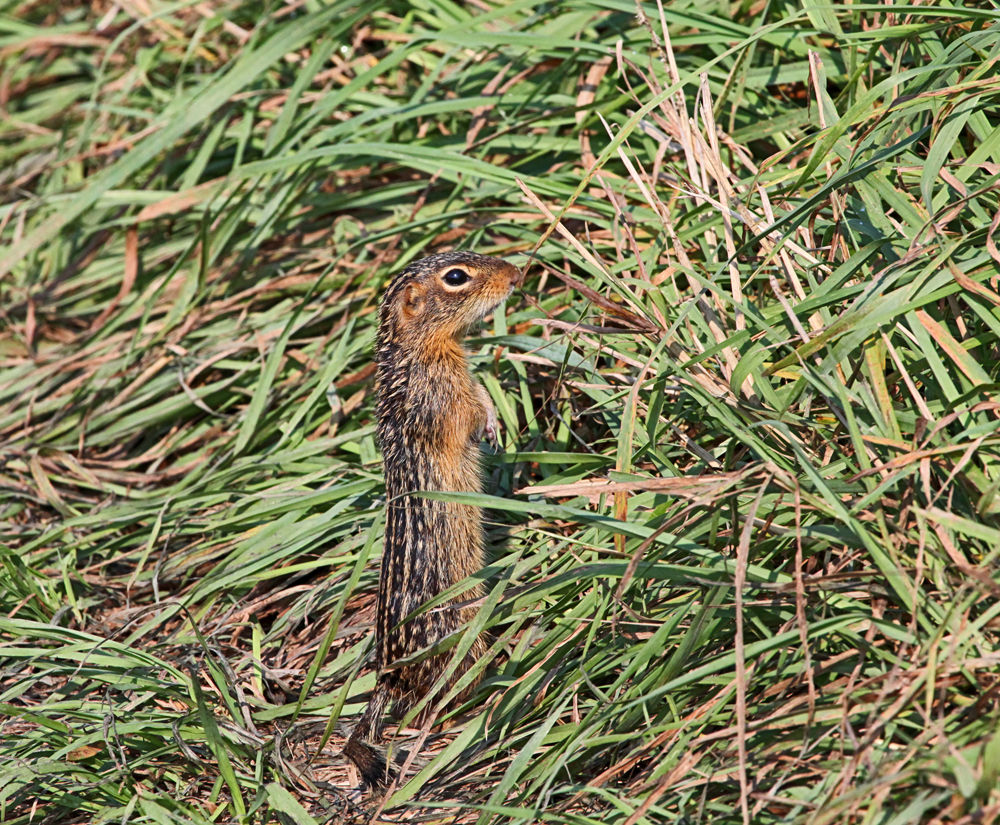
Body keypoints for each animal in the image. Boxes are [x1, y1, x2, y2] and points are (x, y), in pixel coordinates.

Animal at [342, 253, 520, 792]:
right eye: (457, 277)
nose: (517, 274)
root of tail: (388, 676)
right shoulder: (443, 399)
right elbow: (467, 413)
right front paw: (490, 426)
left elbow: (481, 394)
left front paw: (499, 423)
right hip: (461, 634)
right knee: (439, 700)